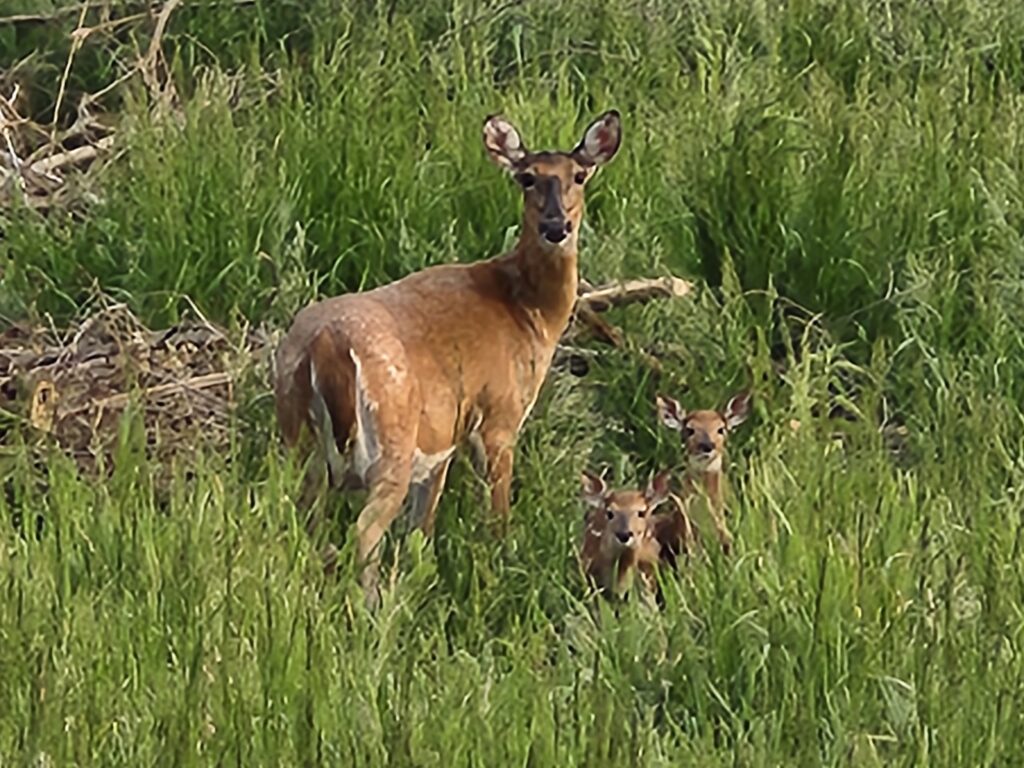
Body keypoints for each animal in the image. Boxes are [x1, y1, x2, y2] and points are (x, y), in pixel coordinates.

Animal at [273, 110, 623, 608]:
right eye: (526, 177)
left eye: (579, 175)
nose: (556, 226)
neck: (528, 313)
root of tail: (327, 343)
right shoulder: (498, 418)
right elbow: (495, 514)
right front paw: (500, 566)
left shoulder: (442, 442)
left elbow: (421, 530)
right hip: (391, 440)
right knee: (364, 531)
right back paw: (373, 607)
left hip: (297, 439)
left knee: (300, 519)